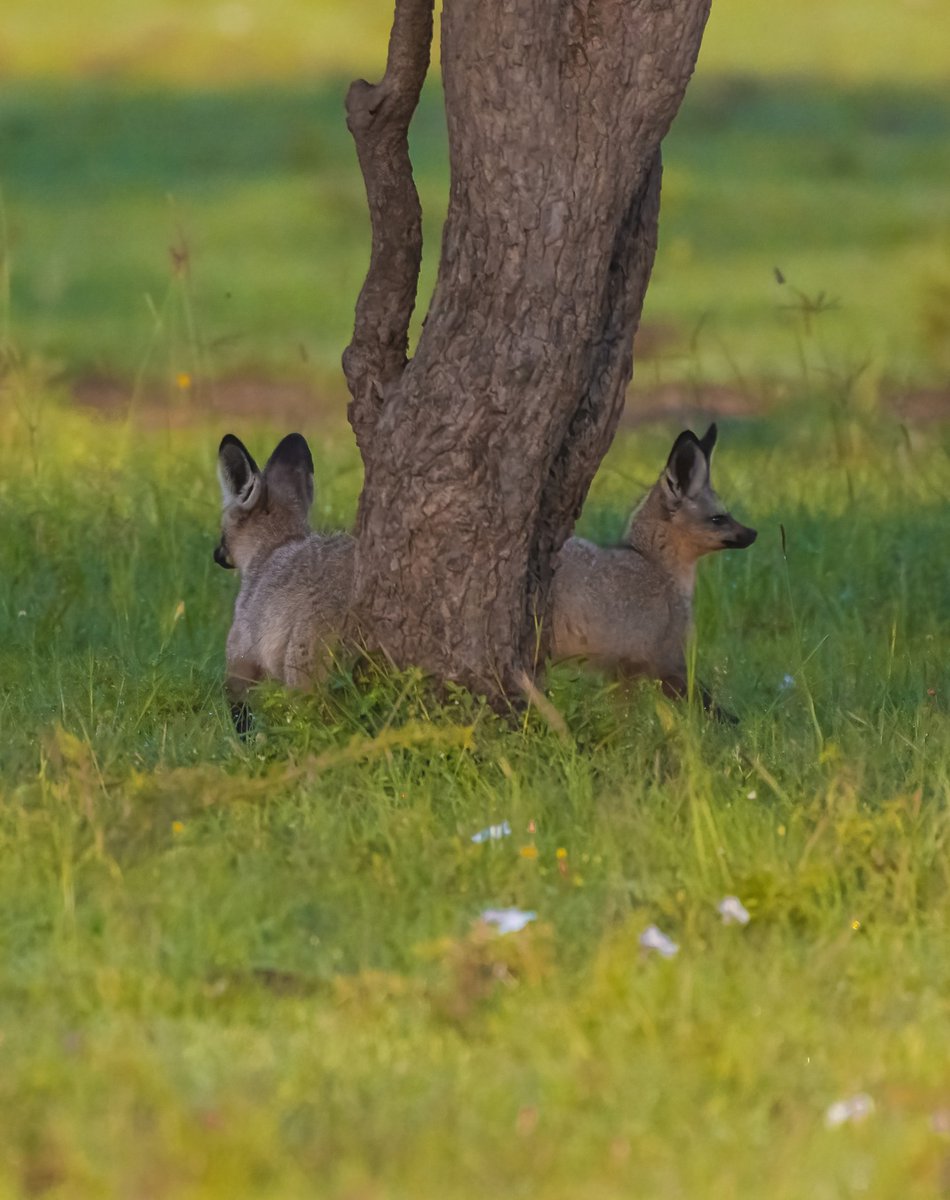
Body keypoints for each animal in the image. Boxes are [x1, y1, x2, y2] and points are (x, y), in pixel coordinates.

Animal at [214, 431, 354, 732]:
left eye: (221, 533)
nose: (216, 554)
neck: (276, 546)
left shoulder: (241, 658)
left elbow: (242, 717)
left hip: (302, 681)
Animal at [549, 423, 756, 716]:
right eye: (719, 518)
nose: (754, 533)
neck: (657, 568)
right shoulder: (667, 664)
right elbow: (711, 707)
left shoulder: (623, 672)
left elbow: (622, 717)